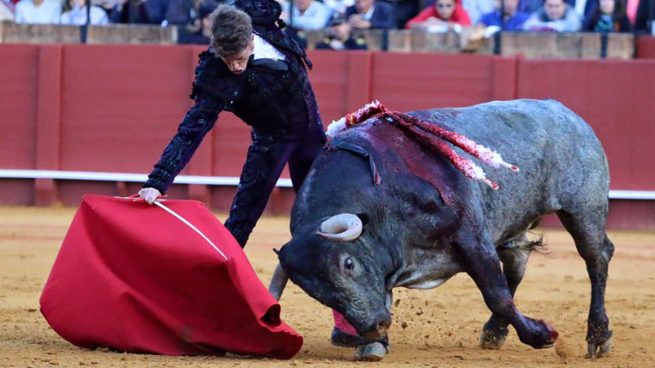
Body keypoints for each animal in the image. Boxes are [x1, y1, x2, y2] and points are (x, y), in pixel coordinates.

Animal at [268, 99, 616, 360]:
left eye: (348, 263)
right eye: (313, 291)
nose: (374, 326)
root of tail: (566, 113)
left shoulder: (471, 236)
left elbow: (496, 294)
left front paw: (542, 334)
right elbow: (385, 292)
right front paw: (374, 345)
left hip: (583, 209)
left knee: (596, 259)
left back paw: (598, 337)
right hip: (514, 220)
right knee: (517, 265)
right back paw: (494, 332)